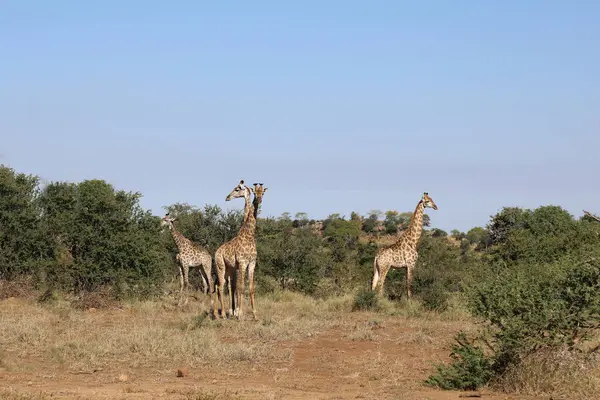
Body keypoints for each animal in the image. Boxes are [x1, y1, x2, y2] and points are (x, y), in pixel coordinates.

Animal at [211, 180, 268, 320]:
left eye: (263, 192)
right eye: (255, 192)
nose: (227, 197)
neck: (249, 235)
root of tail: (216, 251)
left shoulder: (252, 263)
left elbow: (250, 288)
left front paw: (254, 314)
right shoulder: (242, 263)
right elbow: (240, 288)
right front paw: (239, 314)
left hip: (229, 269)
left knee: (221, 285)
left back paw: (220, 313)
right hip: (221, 266)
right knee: (220, 286)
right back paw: (222, 314)